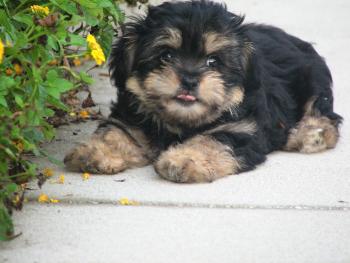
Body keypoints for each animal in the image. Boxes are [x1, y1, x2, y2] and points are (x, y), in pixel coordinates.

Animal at [63, 0, 342, 184]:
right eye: (166, 55)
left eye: (213, 61)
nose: (189, 79)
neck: (180, 122)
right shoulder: (132, 119)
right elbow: (116, 134)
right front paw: (94, 152)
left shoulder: (242, 130)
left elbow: (212, 141)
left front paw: (183, 159)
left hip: (313, 80)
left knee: (323, 112)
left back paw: (312, 134)